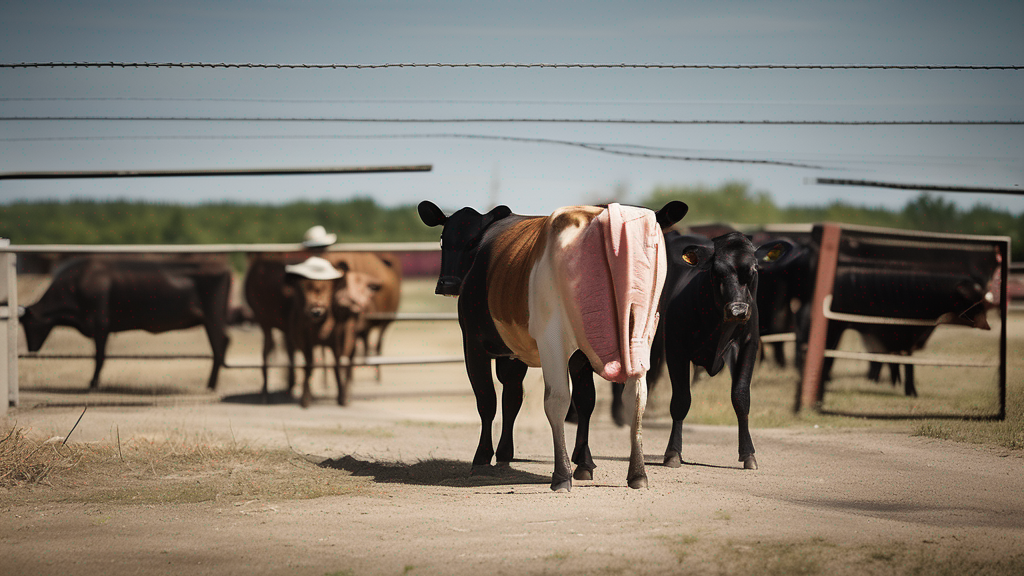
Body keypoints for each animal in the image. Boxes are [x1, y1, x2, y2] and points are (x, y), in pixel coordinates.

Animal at [19, 256, 231, 390]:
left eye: (29, 324)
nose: (30, 348)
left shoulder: (100, 324)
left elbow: (99, 357)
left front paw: (93, 383)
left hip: (213, 317)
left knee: (219, 345)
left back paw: (211, 385)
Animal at [418, 200, 688, 491]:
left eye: (469, 243)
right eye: (444, 240)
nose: (447, 283)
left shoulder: (474, 345)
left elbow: (488, 401)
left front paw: (481, 458)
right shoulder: (534, 354)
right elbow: (524, 399)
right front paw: (508, 455)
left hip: (552, 339)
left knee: (556, 400)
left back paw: (561, 474)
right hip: (638, 337)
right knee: (634, 398)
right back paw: (636, 473)